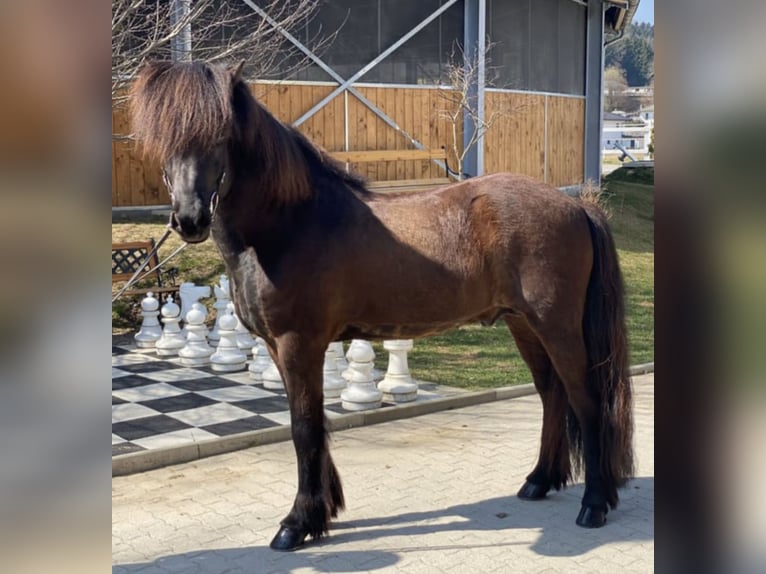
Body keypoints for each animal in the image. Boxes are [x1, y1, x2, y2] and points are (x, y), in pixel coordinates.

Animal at [130, 60, 634, 551]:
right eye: (162, 139)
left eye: (220, 135)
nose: (190, 219)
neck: (291, 223)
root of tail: (577, 207)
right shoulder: (278, 347)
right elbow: (312, 425)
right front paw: (322, 512)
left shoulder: (298, 344)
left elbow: (304, 428)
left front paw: (297, 524)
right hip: (523, 324)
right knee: (552, 394)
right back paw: (539, 481)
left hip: (557, 326)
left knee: (587, 401)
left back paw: (594, 503)